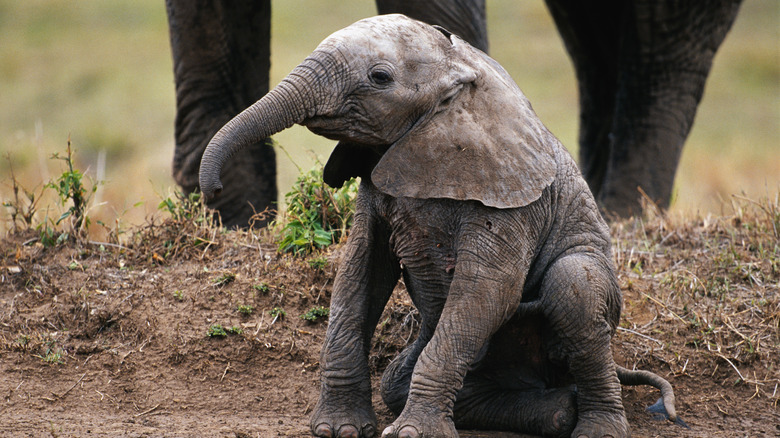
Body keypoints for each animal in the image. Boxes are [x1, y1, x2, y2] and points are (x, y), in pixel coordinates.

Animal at [198, 13, 680, 438]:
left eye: (379, 77)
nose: (213, 190)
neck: (459, 71)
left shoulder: (512, 197)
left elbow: (488, 289)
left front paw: (412, 433)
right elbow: (359, 275)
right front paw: (340, 429)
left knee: (573, 284)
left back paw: (596, 427)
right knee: (399, 381)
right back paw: (559, 412)